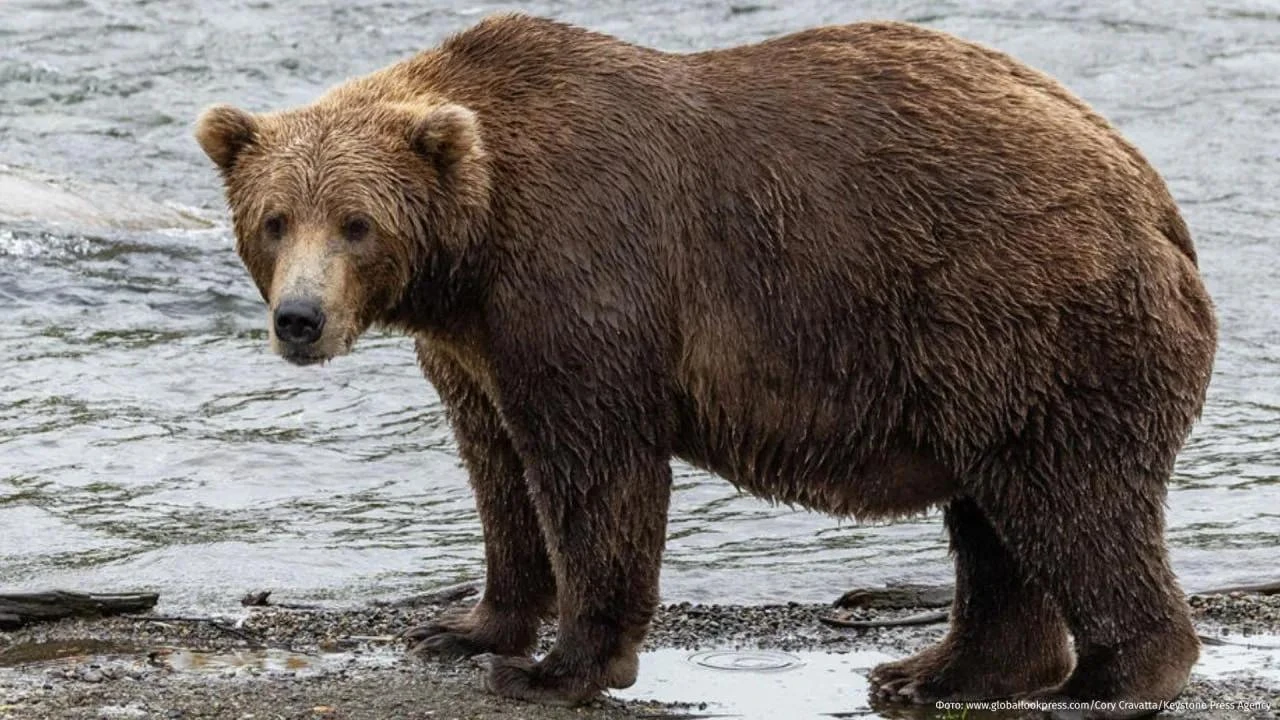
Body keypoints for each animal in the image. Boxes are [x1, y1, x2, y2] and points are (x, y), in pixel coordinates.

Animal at [194, 14, 1217, 713]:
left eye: (356, 222)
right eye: (274, 219)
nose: (300, 318)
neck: (475, 251)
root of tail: (1158, 202)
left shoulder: (585, 278)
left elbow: (596, 472)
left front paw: (555, 668)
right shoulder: (473, 346)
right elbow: (497, 474)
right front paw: (460, 627)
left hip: (1024, 314)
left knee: (1066, 501)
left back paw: (1104, 678)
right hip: (983, 366)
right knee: (996, 517)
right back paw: (937, 670)